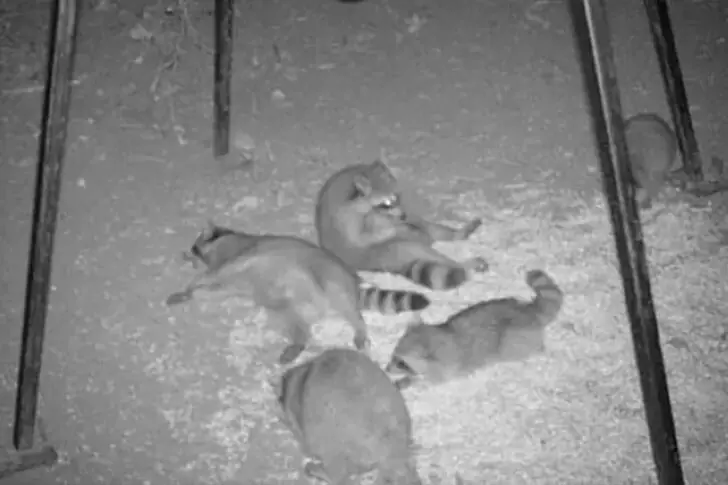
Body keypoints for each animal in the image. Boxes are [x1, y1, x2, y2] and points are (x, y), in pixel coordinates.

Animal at [166, 222, 430, 364]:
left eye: (195, 245)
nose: (188, 255)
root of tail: (353, 286)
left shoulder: (241, 255)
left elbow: (219, 272)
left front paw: (194, 283)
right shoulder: (230, 285)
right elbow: (213, 290)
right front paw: (190, 292)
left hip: (329, 278)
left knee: (351, 312)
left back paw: (359, 327)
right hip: (283, 307)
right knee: (298, 325)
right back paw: (299, 342)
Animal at [315, 160, 488, 291]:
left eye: (397, 197)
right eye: (386, 203)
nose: (402, 216)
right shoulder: (346, 218)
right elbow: (361, 236)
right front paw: (392, 228)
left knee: (429, 227)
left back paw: (455, 234)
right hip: (387, 251)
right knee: (425, 252)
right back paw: (463, 264)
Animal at [386, 270, 563, 389]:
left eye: (401, 363)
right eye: (393, 355)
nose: (387, 369)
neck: (435, 335)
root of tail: (527, 311)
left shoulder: (445, 366)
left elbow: (432, 381)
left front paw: (411, 381)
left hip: (514, 341)